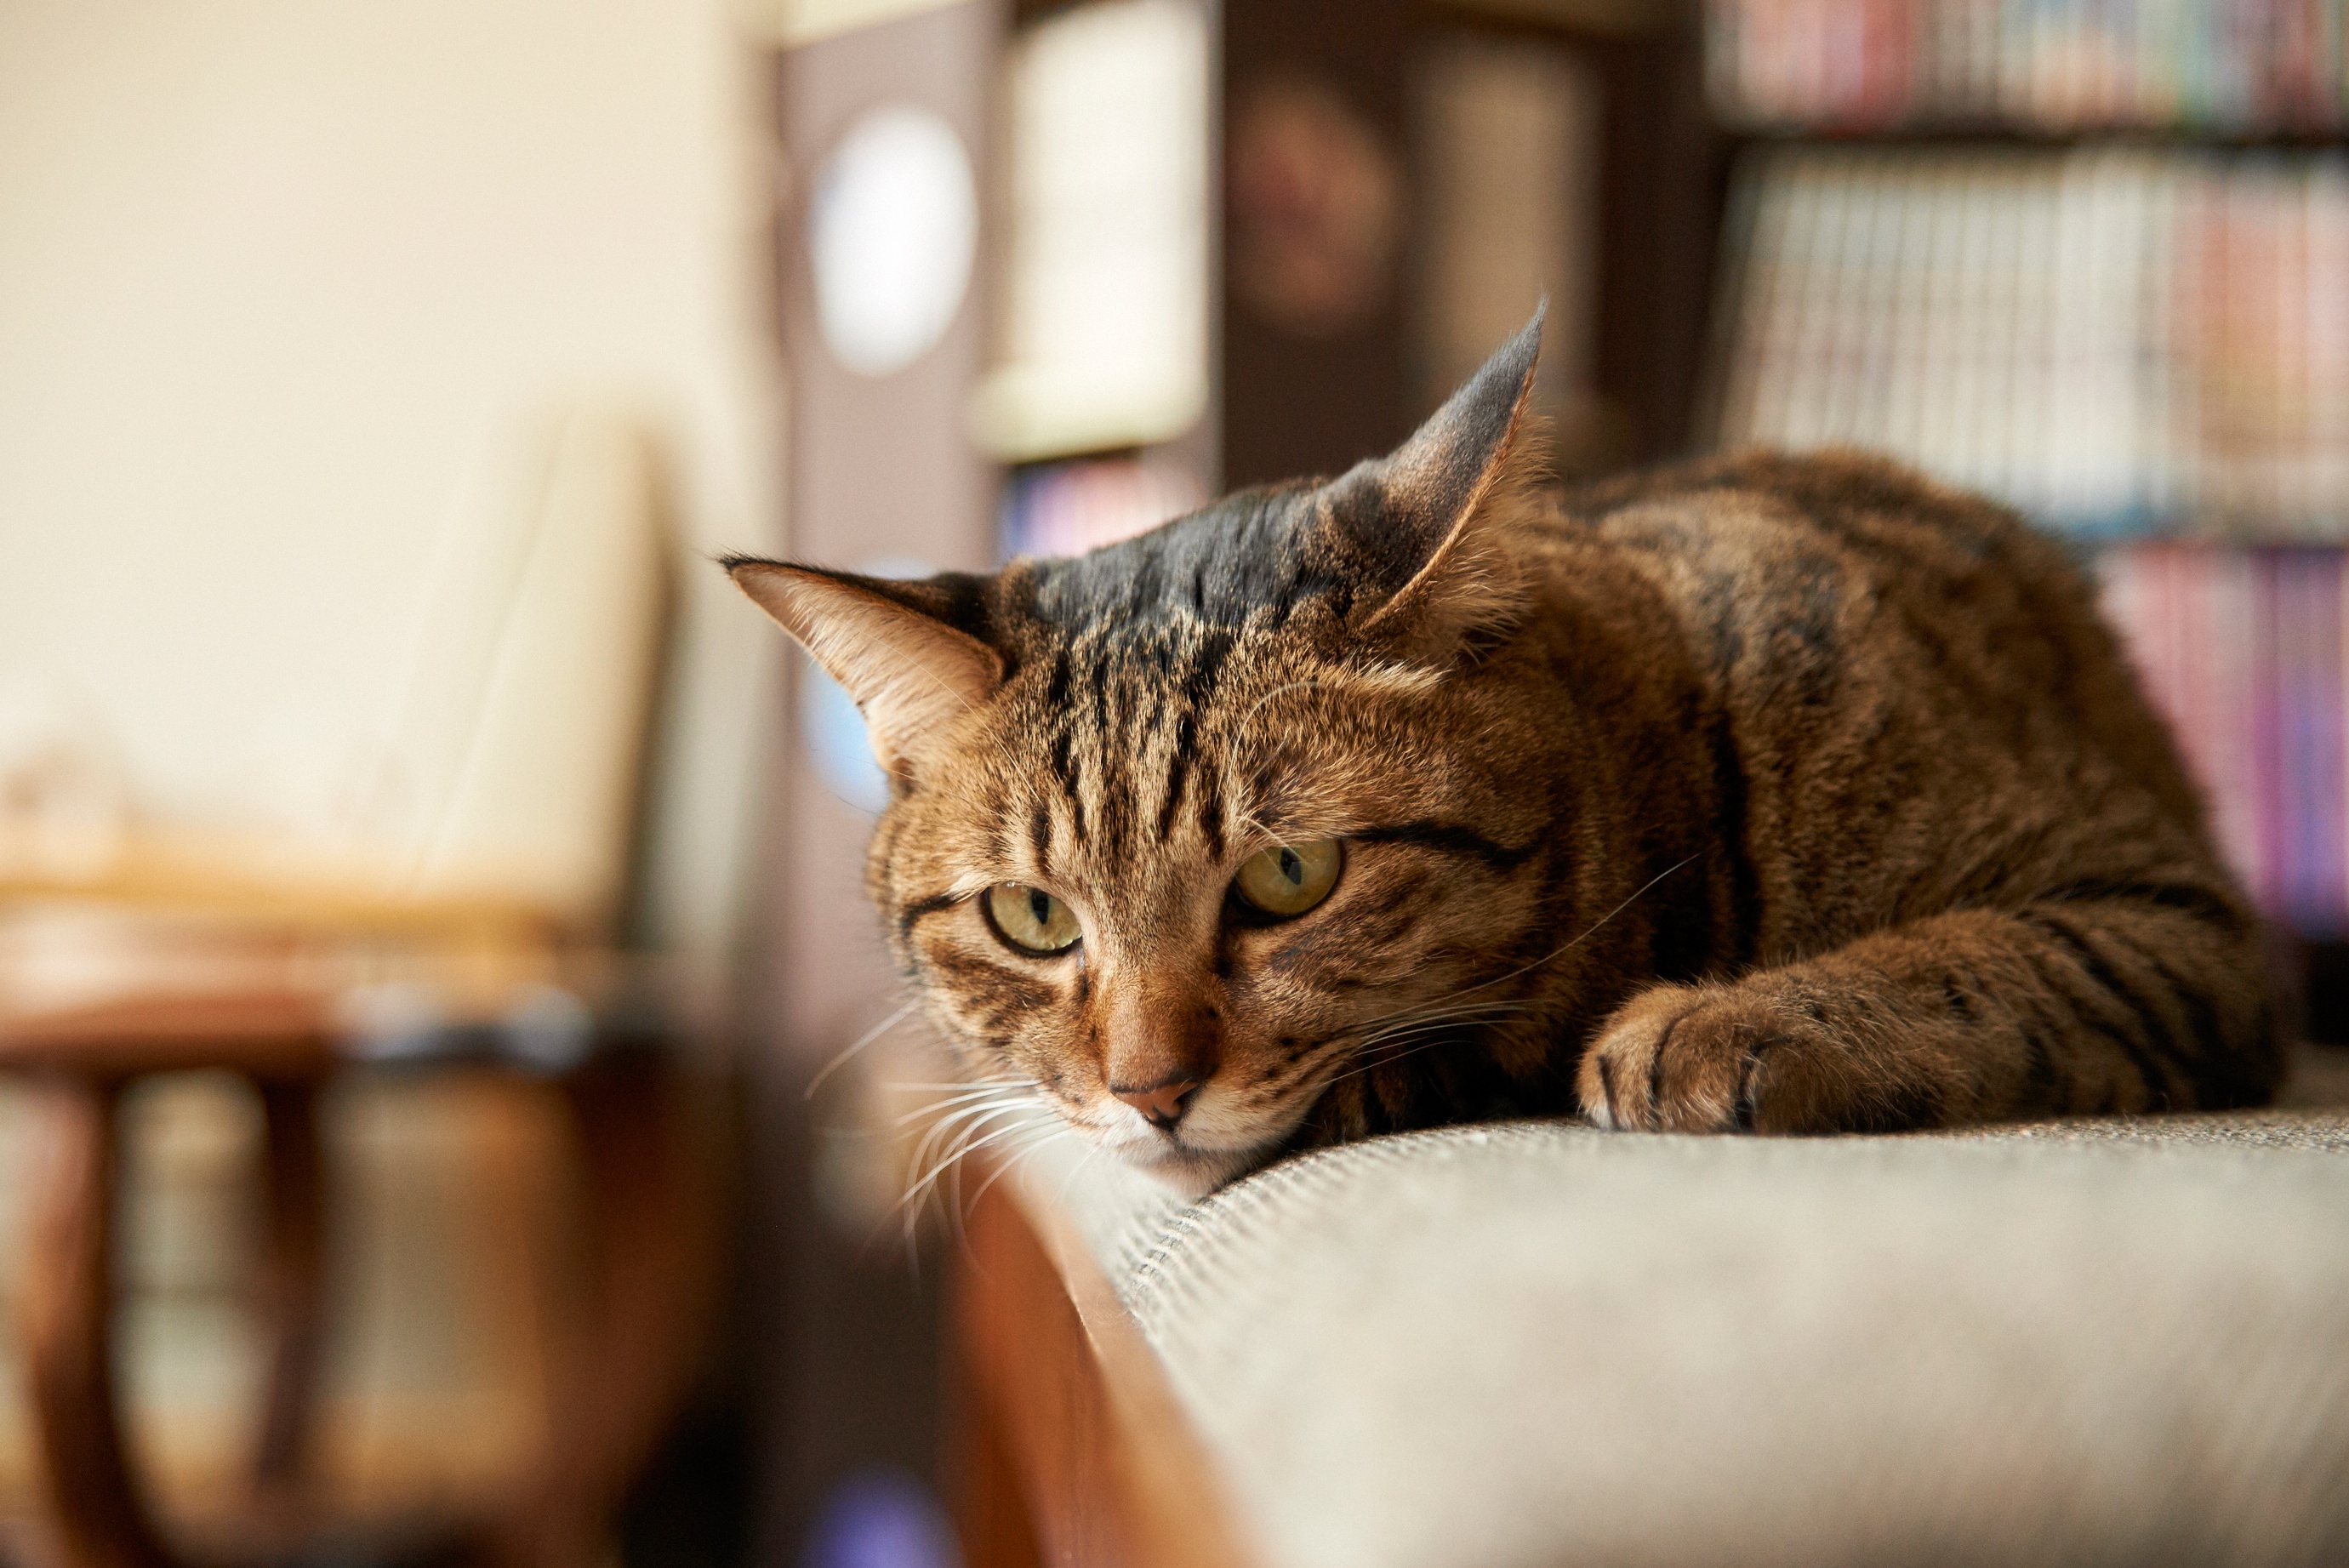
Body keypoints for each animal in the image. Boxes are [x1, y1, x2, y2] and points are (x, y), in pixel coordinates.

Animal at [727, 311, 2273, 1192]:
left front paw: (1728, 1017)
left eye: (1289, 877)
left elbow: (1974, 955)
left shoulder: (2169, 914)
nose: (1148, 1091)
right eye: (1031, 916)